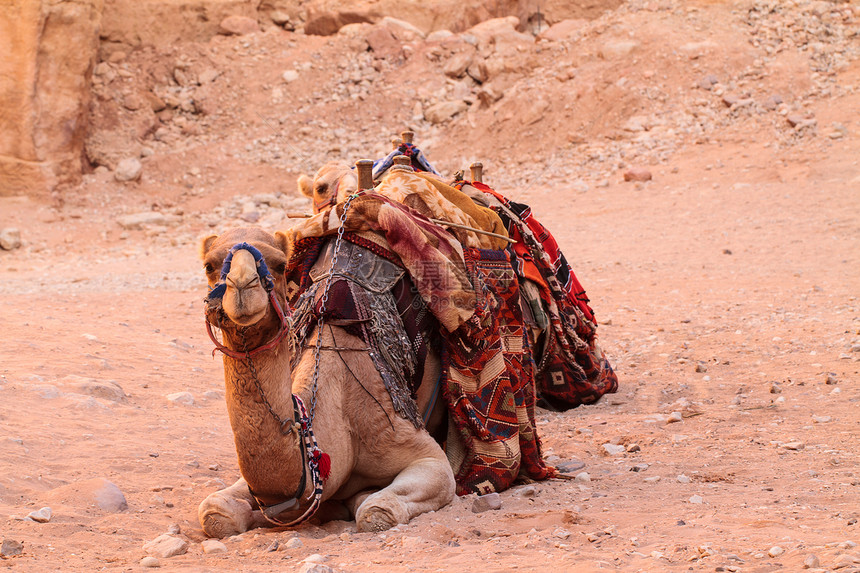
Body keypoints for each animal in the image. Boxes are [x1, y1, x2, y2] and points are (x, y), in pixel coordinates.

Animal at [194, 225, 450, 536]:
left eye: (280, 265)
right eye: (209, 266)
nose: (243, 285)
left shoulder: (413, 444)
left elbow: (376, 511)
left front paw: (356, 500)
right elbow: (216, 513)